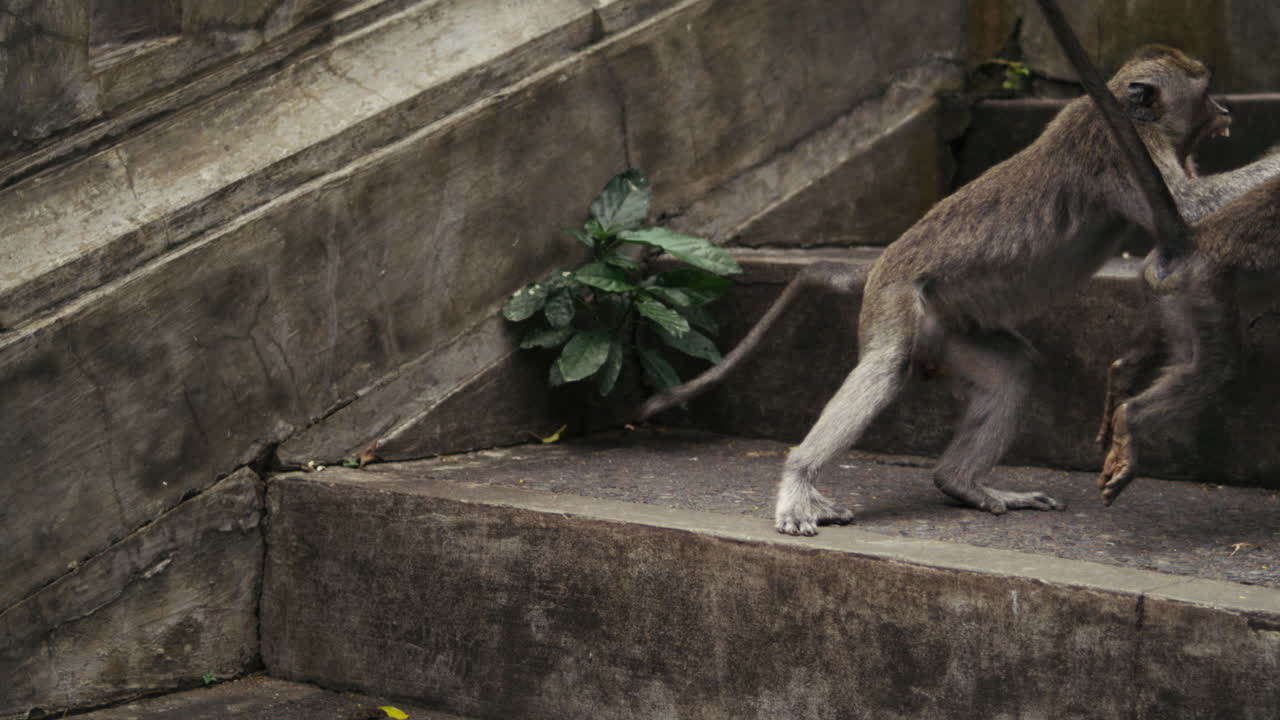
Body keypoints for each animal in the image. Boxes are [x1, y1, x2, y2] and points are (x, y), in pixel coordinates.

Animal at [641, 32, 1280, 535]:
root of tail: (875, 266)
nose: (1225, 108)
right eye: (1205, 90)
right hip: (899, 300)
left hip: (950, 327)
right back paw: (800, 477)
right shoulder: (1123, 151)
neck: (1131, 116)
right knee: (884, 368)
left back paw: (962, 483)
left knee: (1013, 369)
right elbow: (1193, 212)